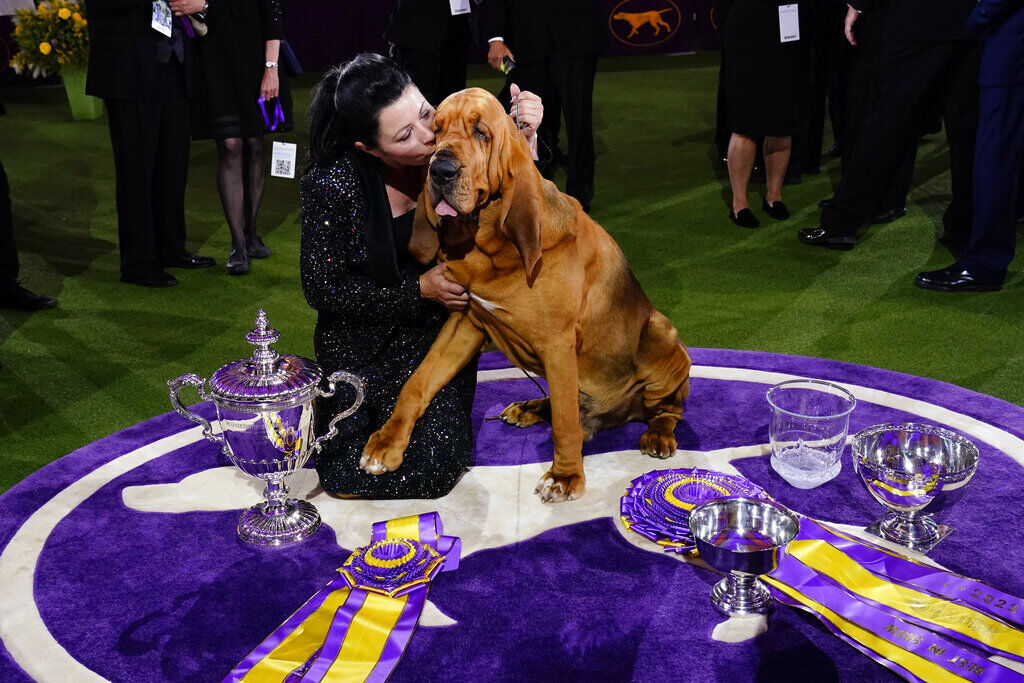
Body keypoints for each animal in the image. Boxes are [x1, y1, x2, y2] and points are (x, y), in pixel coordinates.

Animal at [358, 87, 688, 501]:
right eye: (435, 132)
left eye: (481, 133)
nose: (440, 170)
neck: (493, 247)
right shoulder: (465, 321)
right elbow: (417, 381)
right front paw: (386, 443)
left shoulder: (558, 344)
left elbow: (565, 422)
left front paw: (564, 476)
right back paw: (530, 407)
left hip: (662, 334)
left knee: (666, 409)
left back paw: (658, 435)